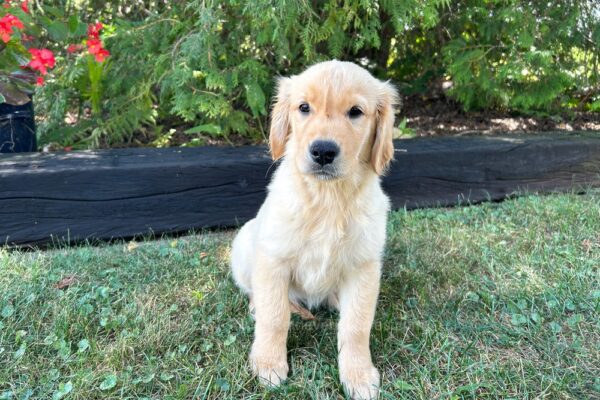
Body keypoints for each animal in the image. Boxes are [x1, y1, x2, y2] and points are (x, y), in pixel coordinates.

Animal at [231, 60, 398, 400]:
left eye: (356, 112)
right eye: (304, 108)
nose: (322, 151)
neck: (328, 197)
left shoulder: (364, 266)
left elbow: (356, 325)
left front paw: (359, 375)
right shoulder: (273, 257)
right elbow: (274, 315)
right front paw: (268, 363)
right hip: (244, 245)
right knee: (256, 294)